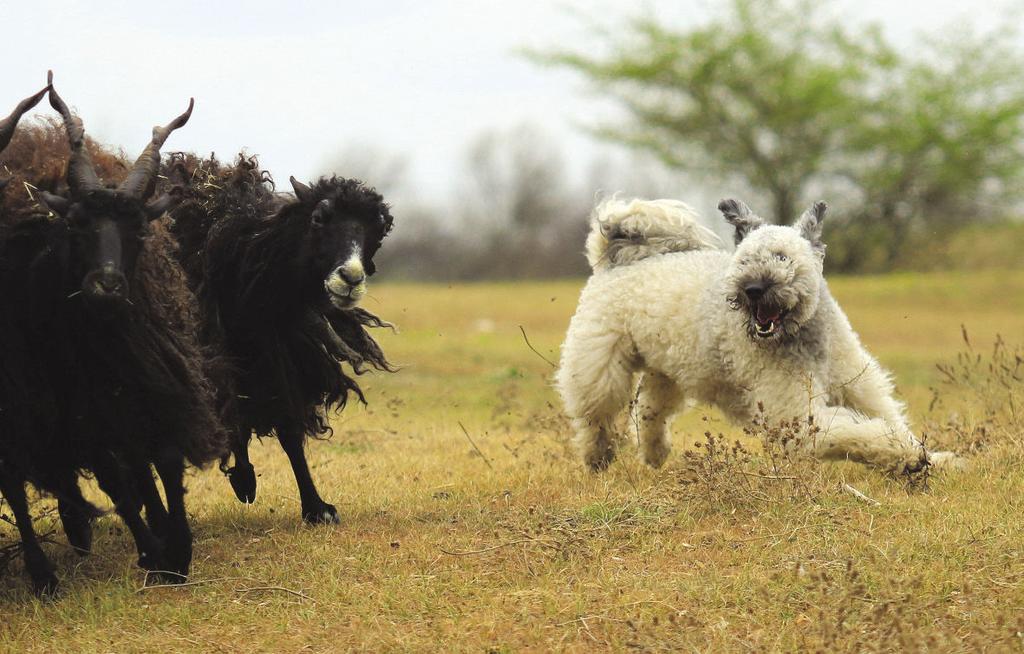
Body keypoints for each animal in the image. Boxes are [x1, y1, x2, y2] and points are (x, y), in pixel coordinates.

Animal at [557, 196, 954, 472]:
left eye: (782, 257)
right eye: (744, 259)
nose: (752, 289)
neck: (804, 336)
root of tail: (613, 260)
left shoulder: (859, 387)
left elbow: (889, 419)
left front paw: (931, 457)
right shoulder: (797, 417)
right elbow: (859, 431)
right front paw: (905, 455)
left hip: (668, 368)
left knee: (649, 409)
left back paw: (655, 454)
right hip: (600, 368)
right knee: (596, 416)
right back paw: (597, 458)